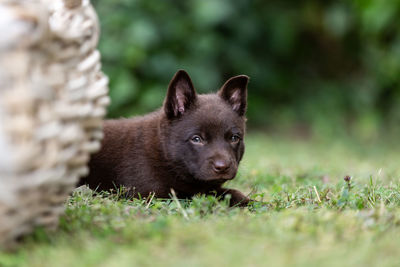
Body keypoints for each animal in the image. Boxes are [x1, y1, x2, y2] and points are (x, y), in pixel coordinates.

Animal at [80, 69, 250, 207]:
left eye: (234, 138)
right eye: (196, 139)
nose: (223, 167)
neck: (164, 153)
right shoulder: (150, 193)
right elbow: (197, 196)